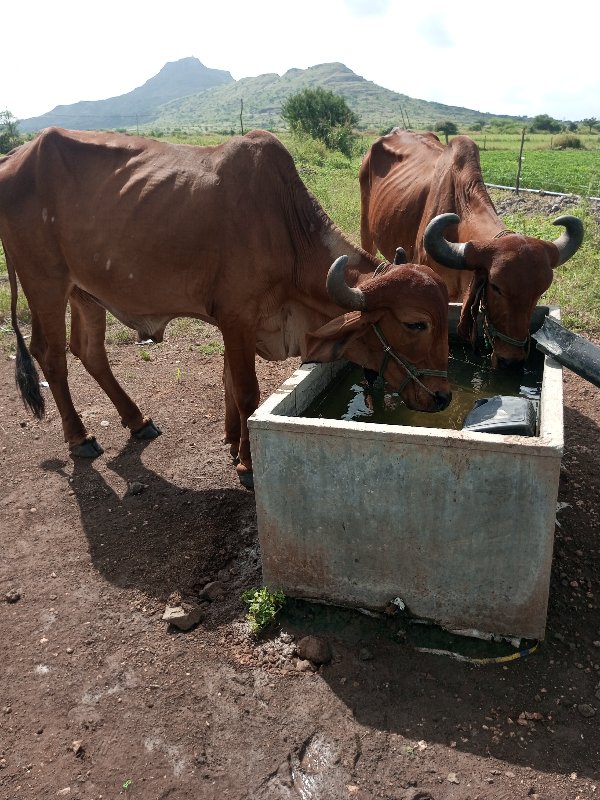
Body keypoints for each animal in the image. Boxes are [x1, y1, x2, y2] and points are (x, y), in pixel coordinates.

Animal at [1, 127, 454, 488]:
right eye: (415, 324)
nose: (443, 397)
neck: (286, 228)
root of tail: (14, 157)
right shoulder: (237, 318)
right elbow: (247, 392)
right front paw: (248, 465)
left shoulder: (236, 323)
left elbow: (230, 386)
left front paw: (234, 443)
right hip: (45, 283)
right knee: (51, 355)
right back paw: (80, 438)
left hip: (86, 292)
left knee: (89, 350)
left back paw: (138, 421)